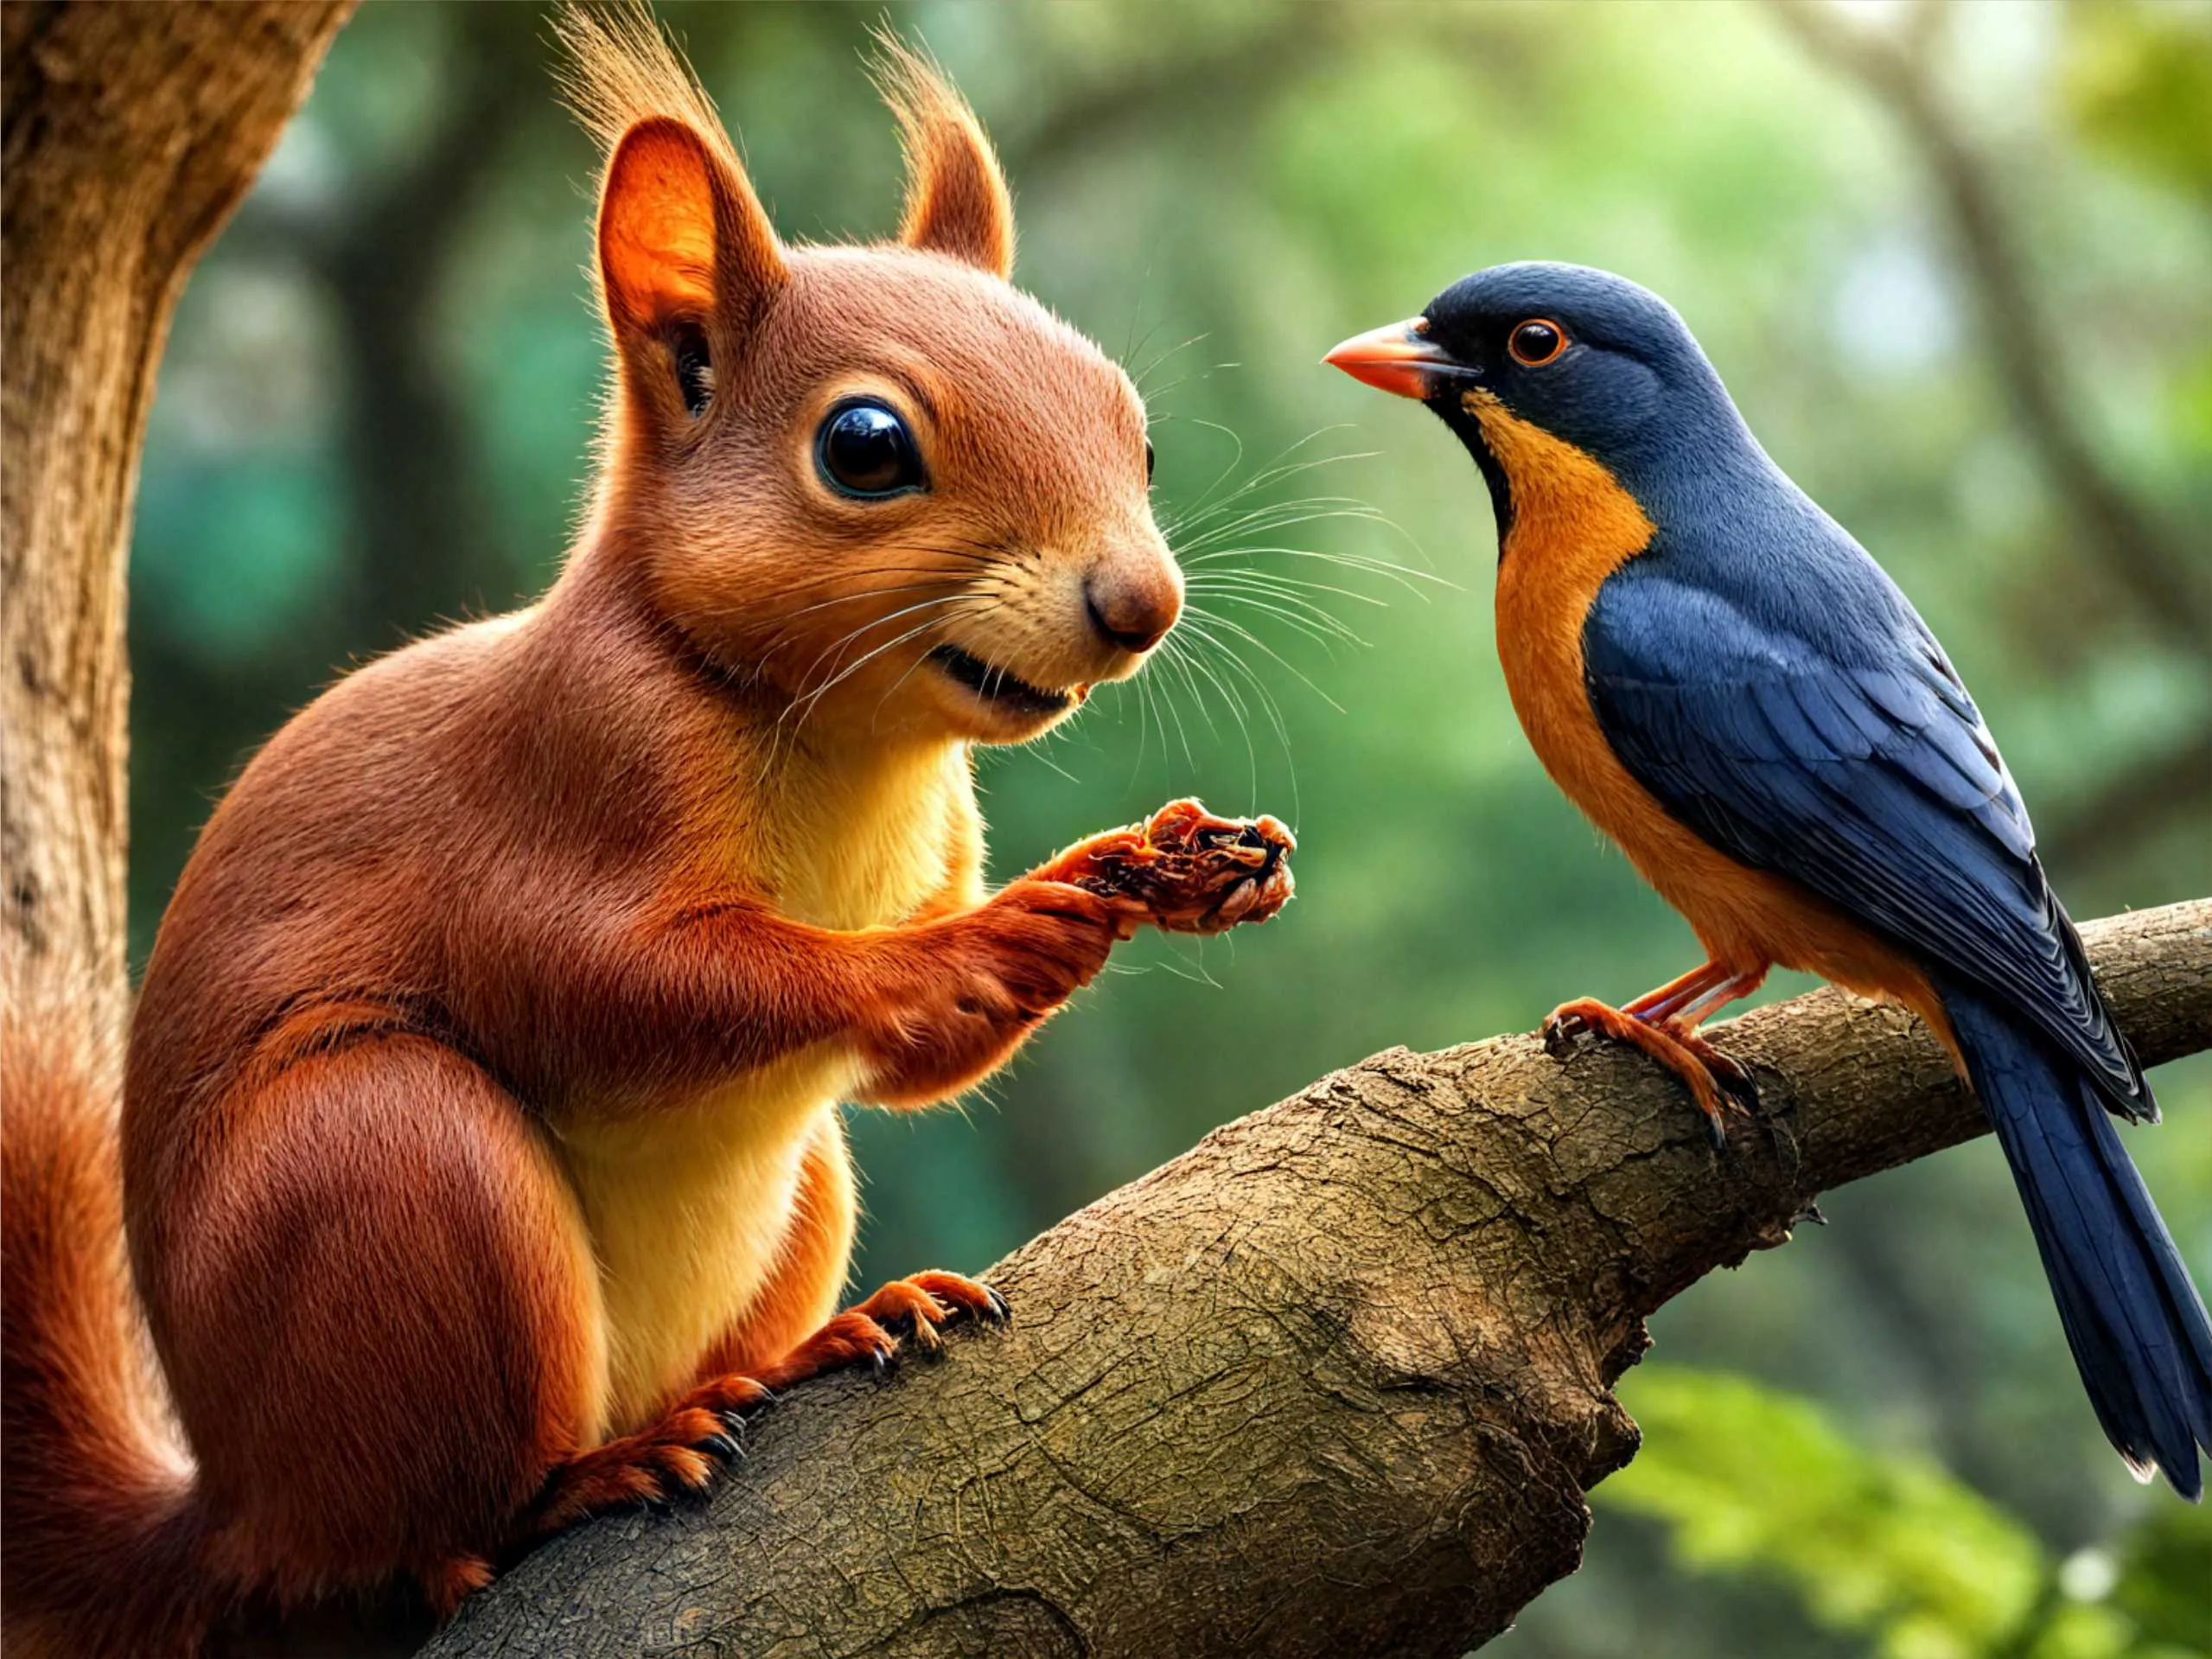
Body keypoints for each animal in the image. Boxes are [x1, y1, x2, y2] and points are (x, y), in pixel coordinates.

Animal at [0, 11, 1293, 1654]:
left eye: (1132, 426)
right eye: (864, 445)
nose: (1140, 604)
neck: (846, 743)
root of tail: (233, 1517)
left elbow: (911, 1074)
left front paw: (1117, 878)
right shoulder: (568, 776)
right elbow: (615, 980)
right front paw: (984, 939)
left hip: (790, 1188)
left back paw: (818, 1342)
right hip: (385, 1168)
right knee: (435, 1536)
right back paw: (585, 1476)